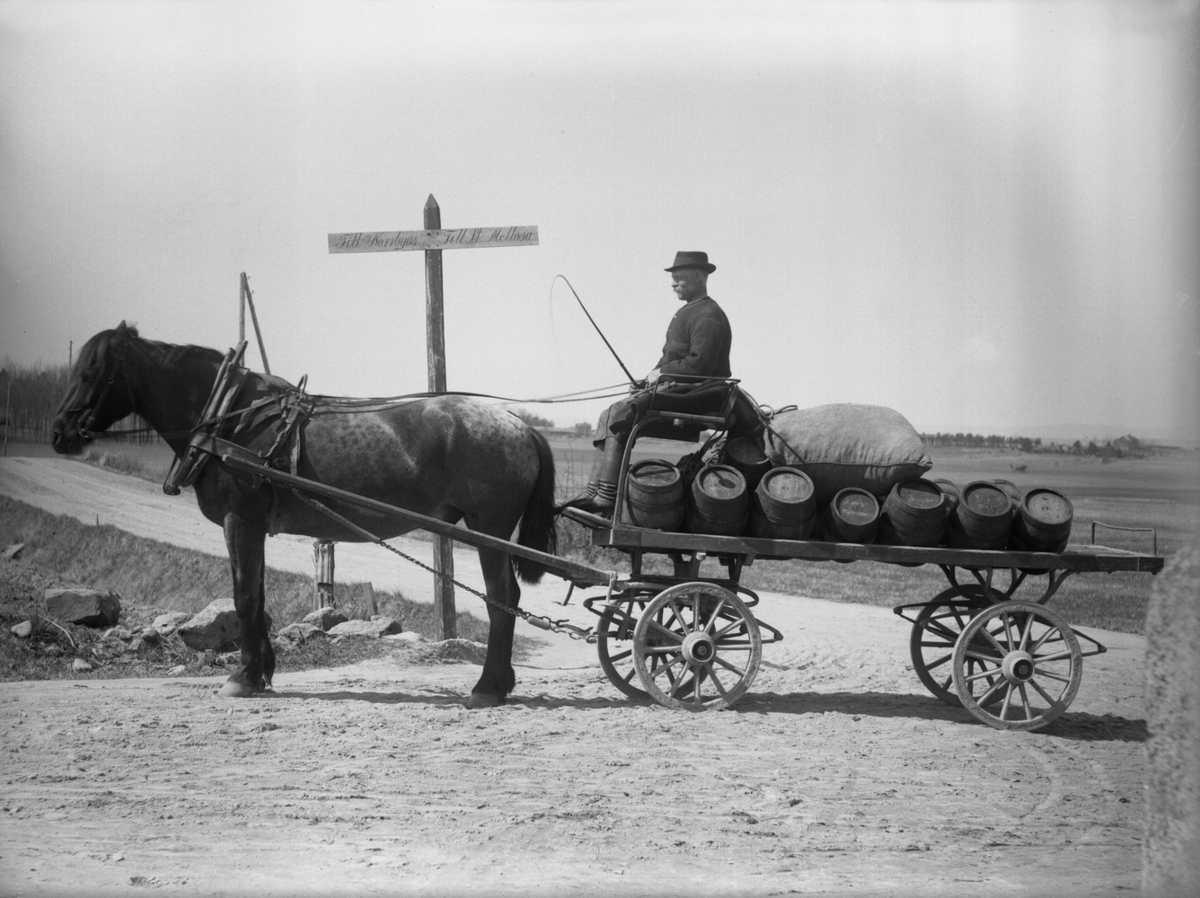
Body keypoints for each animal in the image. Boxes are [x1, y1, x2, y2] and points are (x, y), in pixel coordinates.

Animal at [52, 321, 561, 710]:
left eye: (93, 371)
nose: (59, 433)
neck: (230, 420)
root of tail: (519, 425)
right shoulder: (254, 528)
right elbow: (256, 596)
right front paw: (261, 673)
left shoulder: (241, 521)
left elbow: (244, 598)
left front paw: (243, 677)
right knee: (508, 599)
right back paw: (499, 683)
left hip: (489, 530)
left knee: (501, 598)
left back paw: (487, 687)